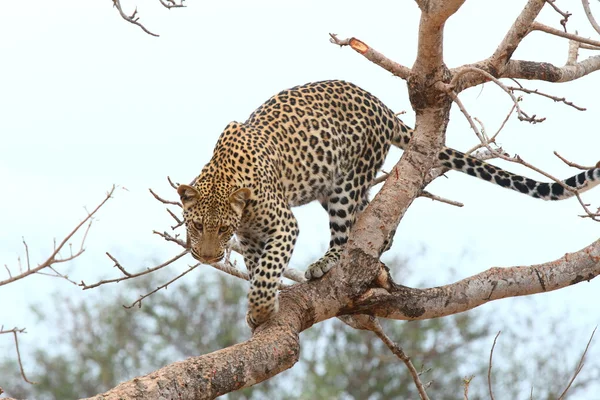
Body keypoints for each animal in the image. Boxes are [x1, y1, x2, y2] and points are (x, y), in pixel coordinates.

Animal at [178, 79, 600, 326]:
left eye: (222, 229)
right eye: (197, 225)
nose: (208, 257)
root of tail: (379, 105)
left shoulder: (283, 225)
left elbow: (267, 270)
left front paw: (262, 308)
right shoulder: (250, 237)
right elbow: (257, 266)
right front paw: (261, 301)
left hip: (345, 183)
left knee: (346, 229)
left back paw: (327, 262)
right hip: (333, 184)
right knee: (367, 213)